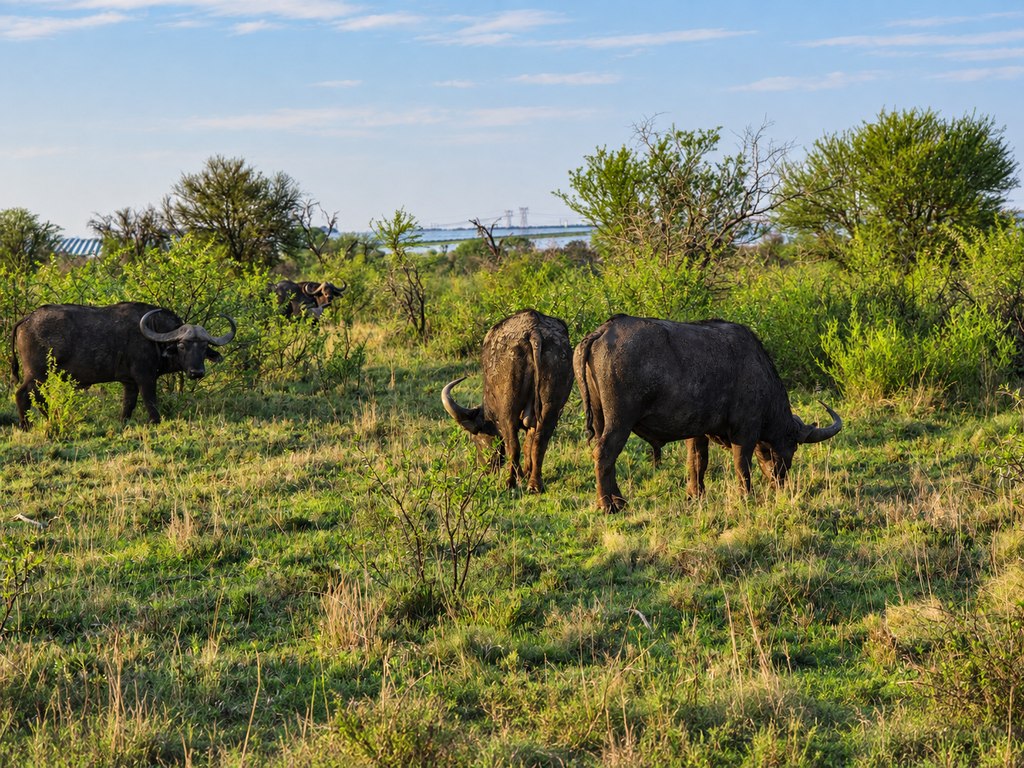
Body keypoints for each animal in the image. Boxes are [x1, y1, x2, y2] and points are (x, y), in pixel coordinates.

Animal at [12, 302, 236, 427]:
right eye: (182, 345)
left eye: (204, 347)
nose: (197, 372)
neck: (154, 335)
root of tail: (28, 318)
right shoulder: (145, 377)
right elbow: (150, 400)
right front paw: (155, 421)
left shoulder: (129, 383)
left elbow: (128, 404)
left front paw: (124, 423)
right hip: (37, 374)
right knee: (23, 394)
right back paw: (28, 424)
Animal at [442, 309, 573, 493]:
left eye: (476, 439)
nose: (484, 469)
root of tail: (533, 332)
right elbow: (529, 444)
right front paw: (526, 473)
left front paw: (519, 476)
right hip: (551, 407)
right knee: (539, 442)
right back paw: (534, 484)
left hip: (508, 410)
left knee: (513, 445)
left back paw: (510, 482)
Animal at [574, 315, 842, 512]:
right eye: (793, 446)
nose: (781, 483)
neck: (759, 372)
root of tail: (603, 330)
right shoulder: (744, 432)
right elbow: (742, 465)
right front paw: (746, 496)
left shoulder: (697, 431)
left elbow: (697, 462)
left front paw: (695, 495)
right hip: (619, 422)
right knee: (604, 454)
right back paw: (609, 505)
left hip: (600, 419)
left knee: (604, 458)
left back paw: (617, 500)